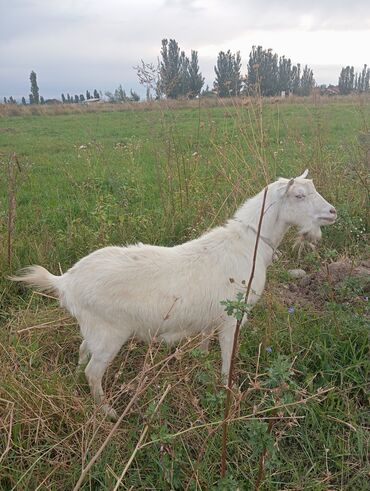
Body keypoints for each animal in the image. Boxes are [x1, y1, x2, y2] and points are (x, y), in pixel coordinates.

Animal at [12, 172, 336, 418]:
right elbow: (227, 359)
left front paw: (203, 370)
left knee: (82, 352)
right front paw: (228, 391)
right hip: (110, 332)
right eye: (299, 196)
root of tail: (66, 281)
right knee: (94, 370)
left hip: (94, 329)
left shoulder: (211, 318)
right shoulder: (232, 317)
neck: (247, 245)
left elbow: (205, 346)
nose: (332, 212)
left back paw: (77, 382)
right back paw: (108, 412)